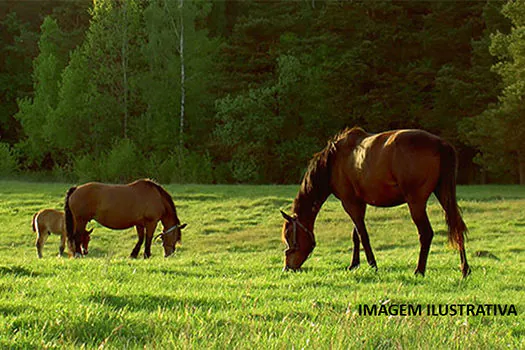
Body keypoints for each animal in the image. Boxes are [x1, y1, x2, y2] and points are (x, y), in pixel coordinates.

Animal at [282, 127, 470, 278]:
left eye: (290, 236)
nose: (287, 268)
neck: (333, 161)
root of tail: (441, 144)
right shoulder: (359, 202)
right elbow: (356, 235)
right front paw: (354, 264)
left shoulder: (350, 203)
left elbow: (363, 236)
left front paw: (372, 265)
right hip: (444, 195)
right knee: (457, 226)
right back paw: (465, 269)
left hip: (416, 203)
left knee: (426, 234)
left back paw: (419, 271)